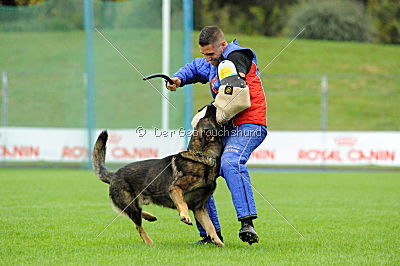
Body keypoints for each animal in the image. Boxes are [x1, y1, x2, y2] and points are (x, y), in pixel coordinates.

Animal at [94, 105, 225, 246]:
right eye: (207, 117)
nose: (211, 105)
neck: (202, 157)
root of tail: (114, 175)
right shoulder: (175, 189)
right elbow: (182, 204)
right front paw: (185, 216)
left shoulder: (199, 209)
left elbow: (210, 226)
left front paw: (218, 242)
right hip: (131, 205)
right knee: (137, 225)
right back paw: (149, 242)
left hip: (135, 204)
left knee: (133, 213)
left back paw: (150, 217)